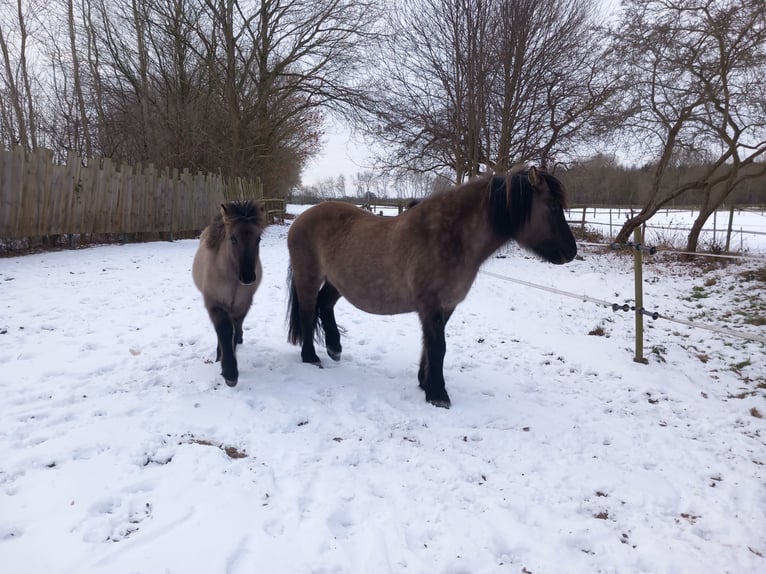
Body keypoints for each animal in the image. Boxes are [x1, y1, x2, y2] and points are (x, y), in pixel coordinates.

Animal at [192, 201, 267, 386]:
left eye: (258, 239)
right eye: (233, 238)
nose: (248, 276)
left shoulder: (242, 306)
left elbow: (233, 333)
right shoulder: (215, 305)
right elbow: (224, 332)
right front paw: (229, 372)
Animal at [286, 166, 577, 408]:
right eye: (552, 206)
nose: (571, 252)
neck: (449, 236)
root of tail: (301, 218)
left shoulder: (445, 306)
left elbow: (429, 345)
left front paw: (424, 382)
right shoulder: (431, 305)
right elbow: (438, 347)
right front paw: (438, 394)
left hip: (337, 281)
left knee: (324, 304)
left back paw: (334, 348)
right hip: (308, 276)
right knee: (308, 312)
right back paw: (311, 357)